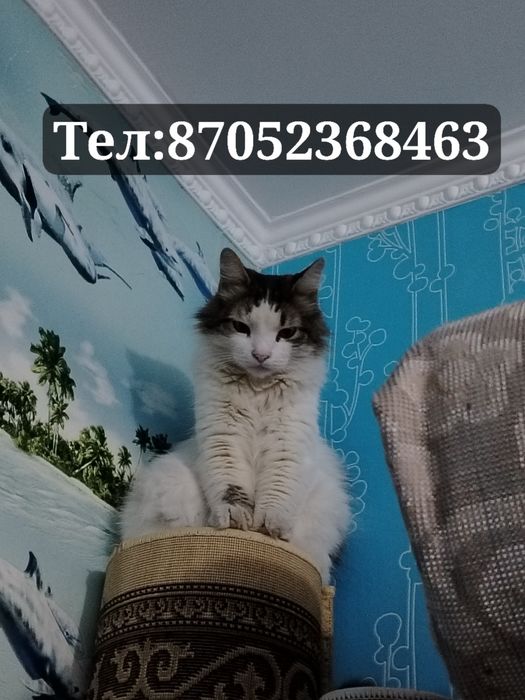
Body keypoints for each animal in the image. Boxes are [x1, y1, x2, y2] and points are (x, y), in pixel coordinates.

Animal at [121, 248, 350, 583]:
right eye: (242, 328)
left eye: (287, 333)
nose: (261, 355)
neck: (258, 391)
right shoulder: (223, 438)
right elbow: (232, 489)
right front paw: (237, 523)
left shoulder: (287, 445)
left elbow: (276, 495)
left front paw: (266, 530)